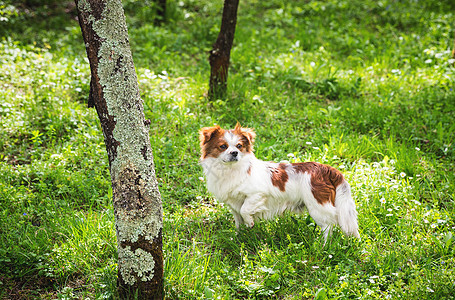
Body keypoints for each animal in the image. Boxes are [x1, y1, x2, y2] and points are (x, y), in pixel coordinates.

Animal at [199, 123, 360, 240]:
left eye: (239, 146)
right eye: (223, 146)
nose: (234, 153)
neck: (230, 170)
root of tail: (326, 168)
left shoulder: (258, 195)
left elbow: (245, 210)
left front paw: (250, 223)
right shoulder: (233, 204)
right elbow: (238, 220)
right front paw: (239, 236)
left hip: (317, 206)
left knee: (329, 226)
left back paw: (323, 246)